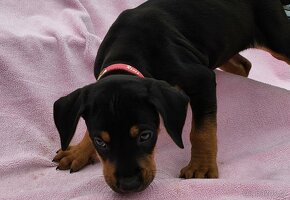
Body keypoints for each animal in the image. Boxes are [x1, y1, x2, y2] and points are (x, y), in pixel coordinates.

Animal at [52, 0, 290, 194]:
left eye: (145, 136)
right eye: (100, 141)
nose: (129, 185)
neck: (127, 54)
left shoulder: (201, 79)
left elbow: (201, 131)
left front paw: (201, 167)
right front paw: (78, 151)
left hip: (275, 36)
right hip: (224, 39)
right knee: (243, 64)